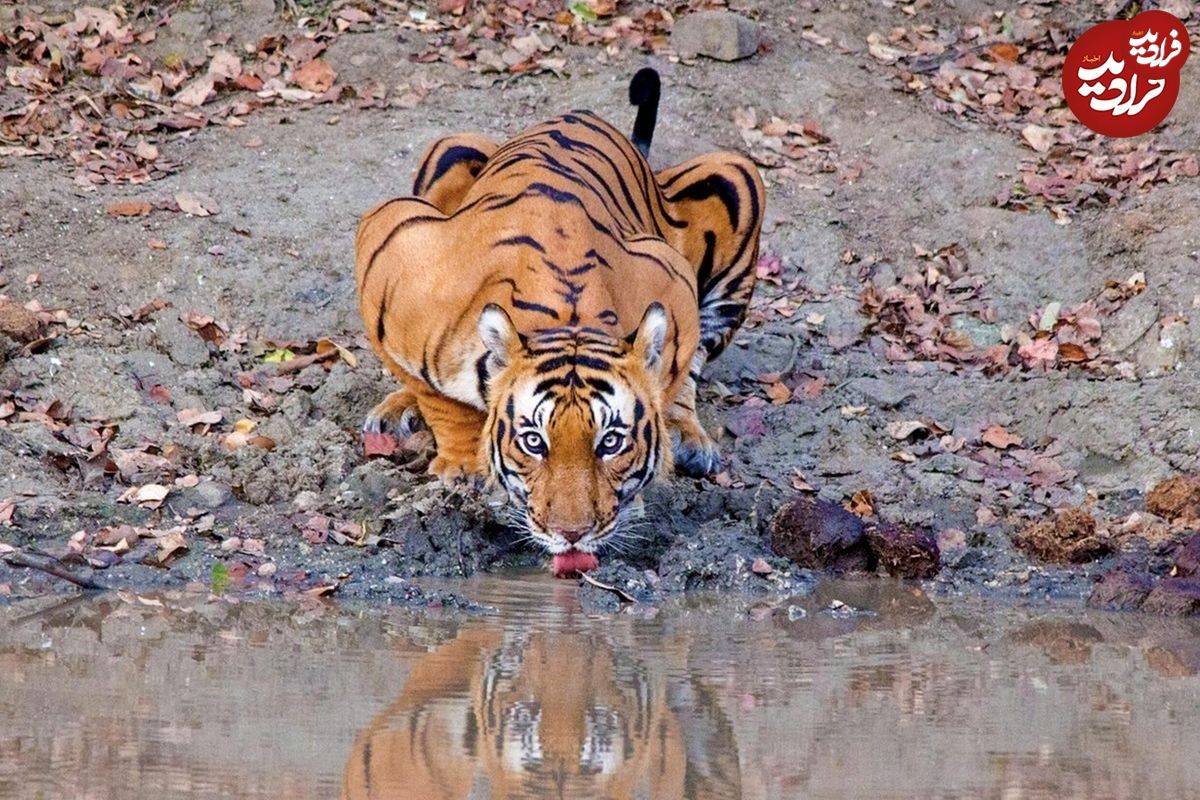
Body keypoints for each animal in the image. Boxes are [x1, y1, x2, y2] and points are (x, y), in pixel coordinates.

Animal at [357, 65, 768, 573]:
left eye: (610, 442)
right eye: (534, 442)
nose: (572, 533)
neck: (565, 317)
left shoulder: (675, 287)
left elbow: (669, 383)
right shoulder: (389, 246)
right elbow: (436, 396)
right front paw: (461, 467)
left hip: (737, 174)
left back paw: (688, 437)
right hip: (450, 145)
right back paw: (396, 412)